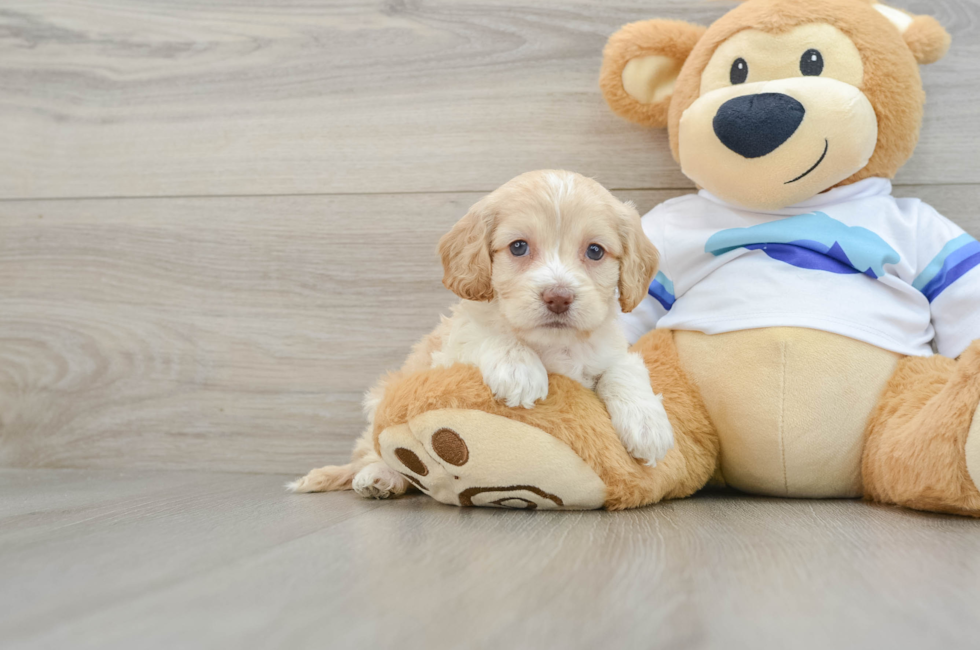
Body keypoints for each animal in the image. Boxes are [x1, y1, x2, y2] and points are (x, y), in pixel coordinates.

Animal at [290, 171, 672, 496]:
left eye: (594, 251)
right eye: (518, 247)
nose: (558, 297)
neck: (550, 345)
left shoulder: (609, 349)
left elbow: (624, 368)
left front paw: (647, 424)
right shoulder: (452, 348)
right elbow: (484, 333)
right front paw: (519, 369)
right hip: (380, 401)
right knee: (372, 452)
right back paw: (380, 476)